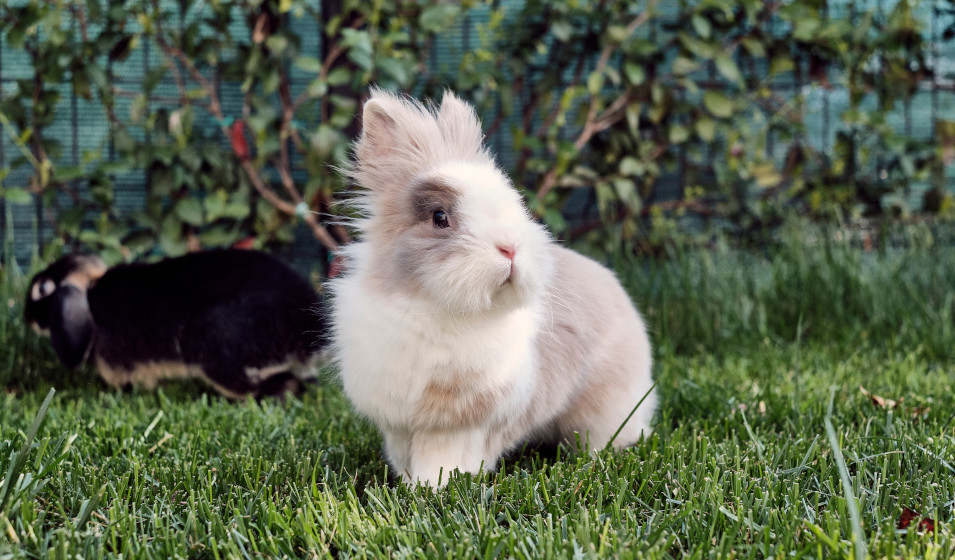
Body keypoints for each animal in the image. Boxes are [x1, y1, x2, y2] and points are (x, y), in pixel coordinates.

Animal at [329, 88, 657, 486]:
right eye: (440, 217)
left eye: (513, 203)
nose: (510, 248)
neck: (433, 306)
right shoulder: (398, 422)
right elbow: (403, 454)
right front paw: (408, 485)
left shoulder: (460, 425)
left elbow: (443, 458)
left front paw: (434, 487)